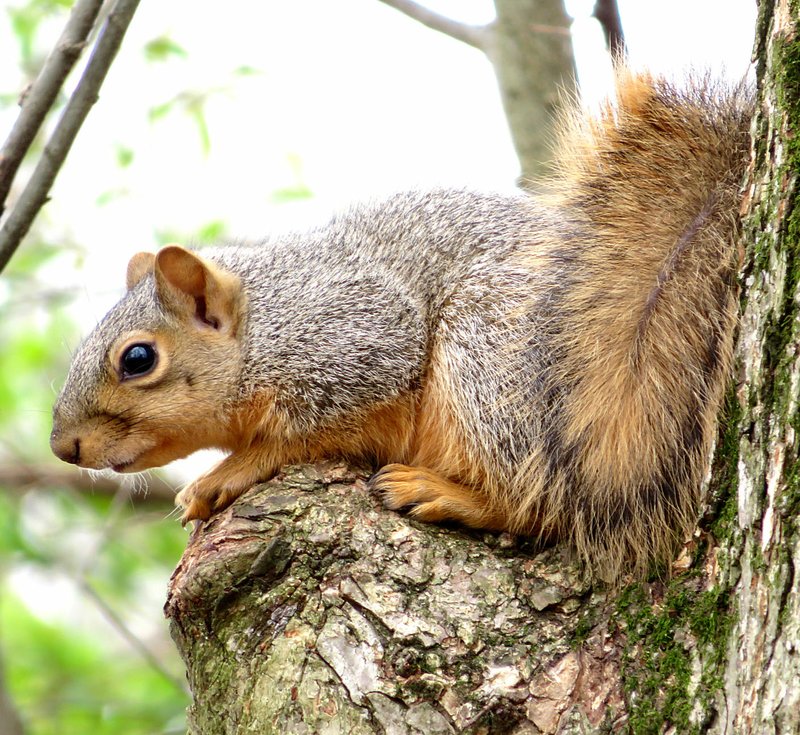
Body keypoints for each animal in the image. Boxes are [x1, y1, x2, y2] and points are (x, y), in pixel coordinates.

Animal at [51, 73, 756, 580]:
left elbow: (299, 437)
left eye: (138, 359)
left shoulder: (359, 343)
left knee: (545, 501)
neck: (270, 319)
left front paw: (223, 475)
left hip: (491, 357)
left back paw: (443, 493)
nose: (64, 448)